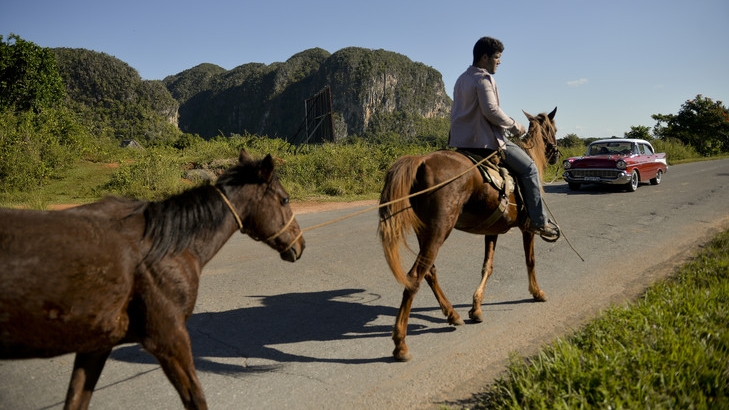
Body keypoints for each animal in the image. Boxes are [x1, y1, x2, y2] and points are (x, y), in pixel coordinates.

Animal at [0, 149, 306, 408]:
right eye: (285, 199)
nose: (300, 244)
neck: (169, 244)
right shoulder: (169, 337)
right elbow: (196, 398)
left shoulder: (96, 345)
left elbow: (76, 399)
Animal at [378, 107, 560, 360]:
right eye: (554, 129)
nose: (556, 154)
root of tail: (422, 161)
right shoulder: (527, 228)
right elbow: (530, 260)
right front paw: (537, 292)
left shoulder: (492, 230)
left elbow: (487, 266)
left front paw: (476, 308)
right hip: (439, 230)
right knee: (415, 275)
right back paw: (400, 344)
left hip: (424, 232)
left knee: (429, 271)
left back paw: (452, 314)